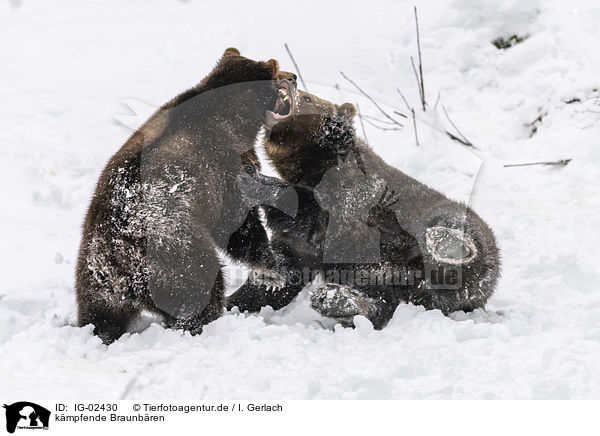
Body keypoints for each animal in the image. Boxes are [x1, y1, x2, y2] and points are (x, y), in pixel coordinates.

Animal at [75, 48, 300, 344]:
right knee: (198, 290)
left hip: (94, 281)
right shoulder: (222, 168)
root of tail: (116, 260)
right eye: (279, 70)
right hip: (176, 252)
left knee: (100, 317)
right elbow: (238, 225)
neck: (237, 118)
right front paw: (272, 268)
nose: (294, 76)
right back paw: (203, 324)